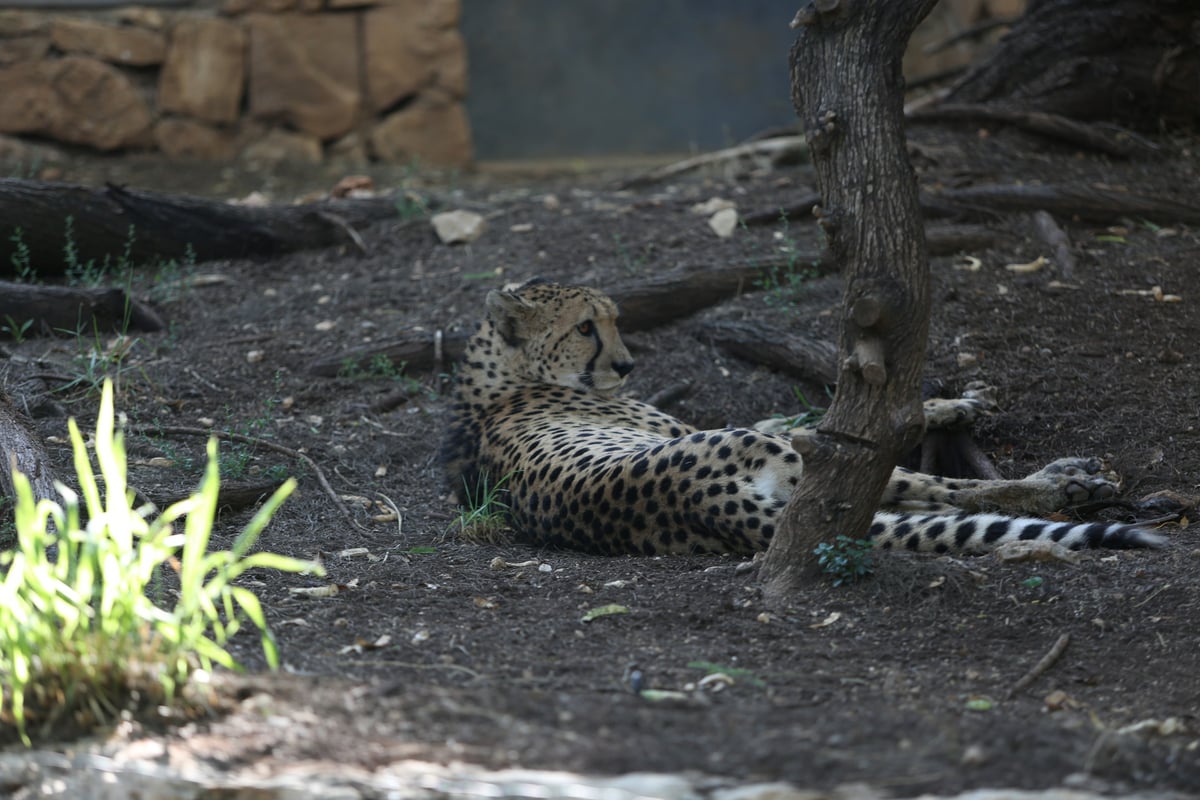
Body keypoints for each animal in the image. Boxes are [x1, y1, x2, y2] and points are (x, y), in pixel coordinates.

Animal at [444, 280, 1161, 556]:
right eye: (585, 327)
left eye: (615, 318)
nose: (625, 364)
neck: (502, 376)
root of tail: (700, 507)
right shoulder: (714, 430)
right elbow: (824, 419)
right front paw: (950, 405)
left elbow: (801, 410)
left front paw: (955, 402)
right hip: (780, 457)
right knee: (939, 488)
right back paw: (1065, 482)